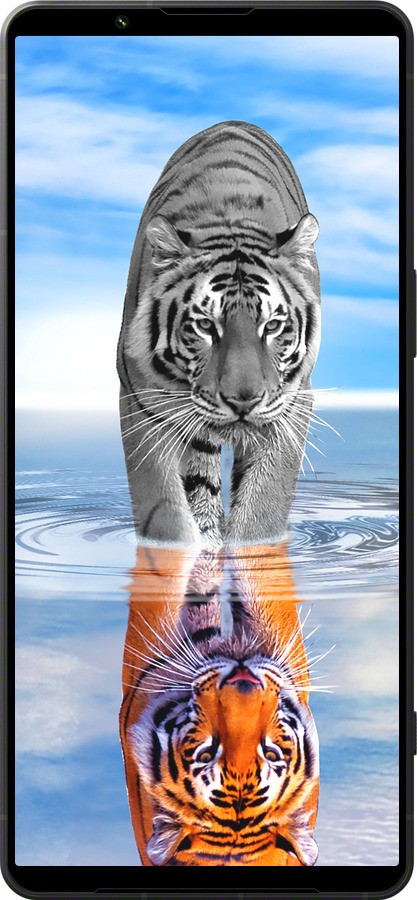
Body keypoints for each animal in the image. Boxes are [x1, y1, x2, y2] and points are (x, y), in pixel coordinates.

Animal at [117, 120, 321, 549]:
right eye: (205, 326)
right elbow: (165, 512)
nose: (243, 400)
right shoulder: (141, 401)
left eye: (272, 326)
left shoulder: (292, 404)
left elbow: (263, 509)